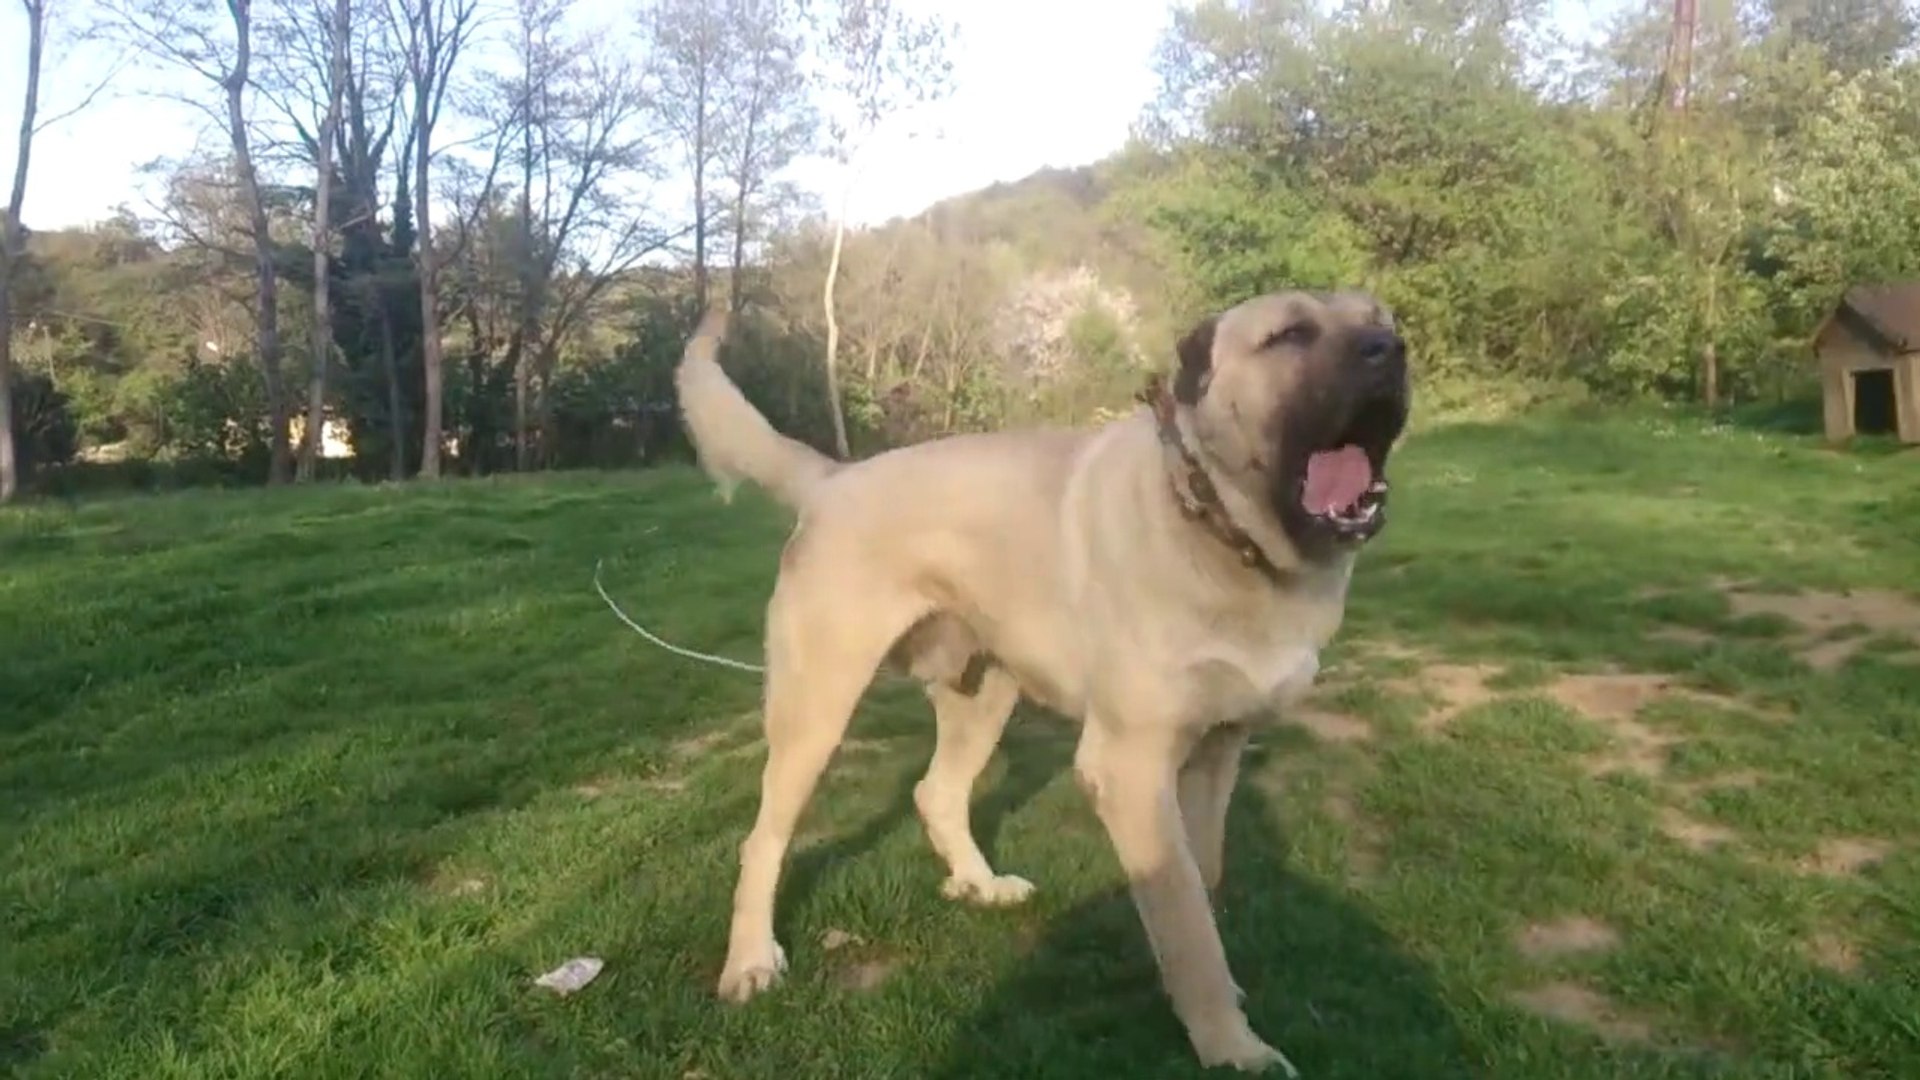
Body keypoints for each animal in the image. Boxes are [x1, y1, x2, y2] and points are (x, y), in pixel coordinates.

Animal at [672, 286, 1413, 1068]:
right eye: (1290, 335)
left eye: (1382, 323)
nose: (1390, 352)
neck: (1215, 525)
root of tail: (834, 478)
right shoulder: (1129, 767)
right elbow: (1187, 922)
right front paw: (1229, 1045)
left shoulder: (1217, 751)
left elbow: (1204, 882)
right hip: (817, 707)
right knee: (763, 839)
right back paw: (750, 960)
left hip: (984, 695)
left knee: (936, 792)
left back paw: (978, 884)